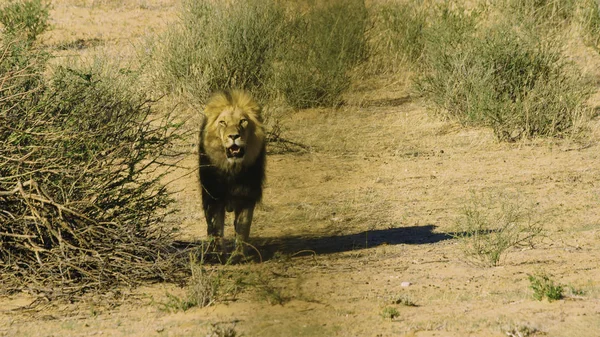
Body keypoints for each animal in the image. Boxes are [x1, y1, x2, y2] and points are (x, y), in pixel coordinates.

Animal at [198, 88, 266, 253]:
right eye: (222, 122)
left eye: (243, 121)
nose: (234, 136)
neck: (232, 169)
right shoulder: (213, 196)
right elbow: (215, 228)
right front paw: (216, 254)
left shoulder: (246, 195)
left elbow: (243, 227)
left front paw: (239, 254)